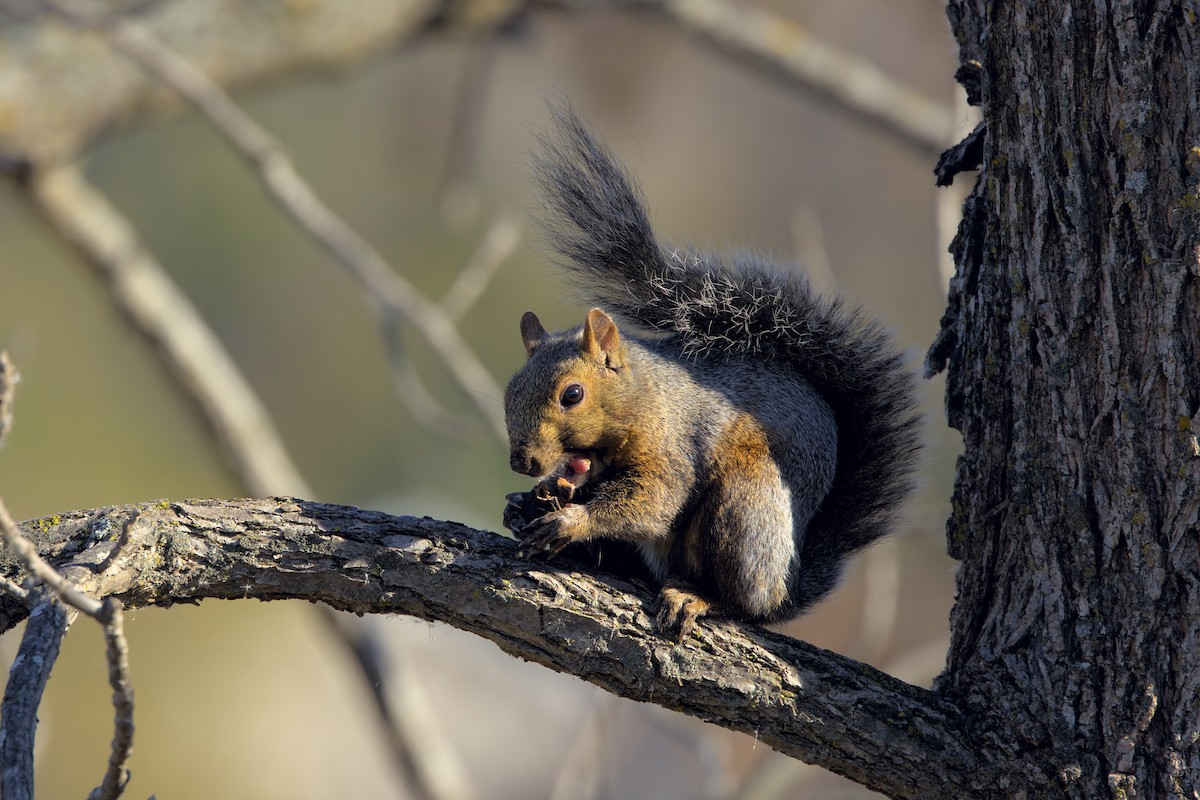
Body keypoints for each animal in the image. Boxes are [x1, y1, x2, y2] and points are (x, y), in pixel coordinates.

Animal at [502, 105, 921, 642]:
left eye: (572, 394)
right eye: (510, 392)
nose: (524, 462)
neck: (643, 394)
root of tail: (785, 586)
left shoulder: (671, 446)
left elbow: (654, 499)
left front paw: (571, 521)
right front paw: (532, 500)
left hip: (743, 508)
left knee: (741, 602)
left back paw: (697, 597)